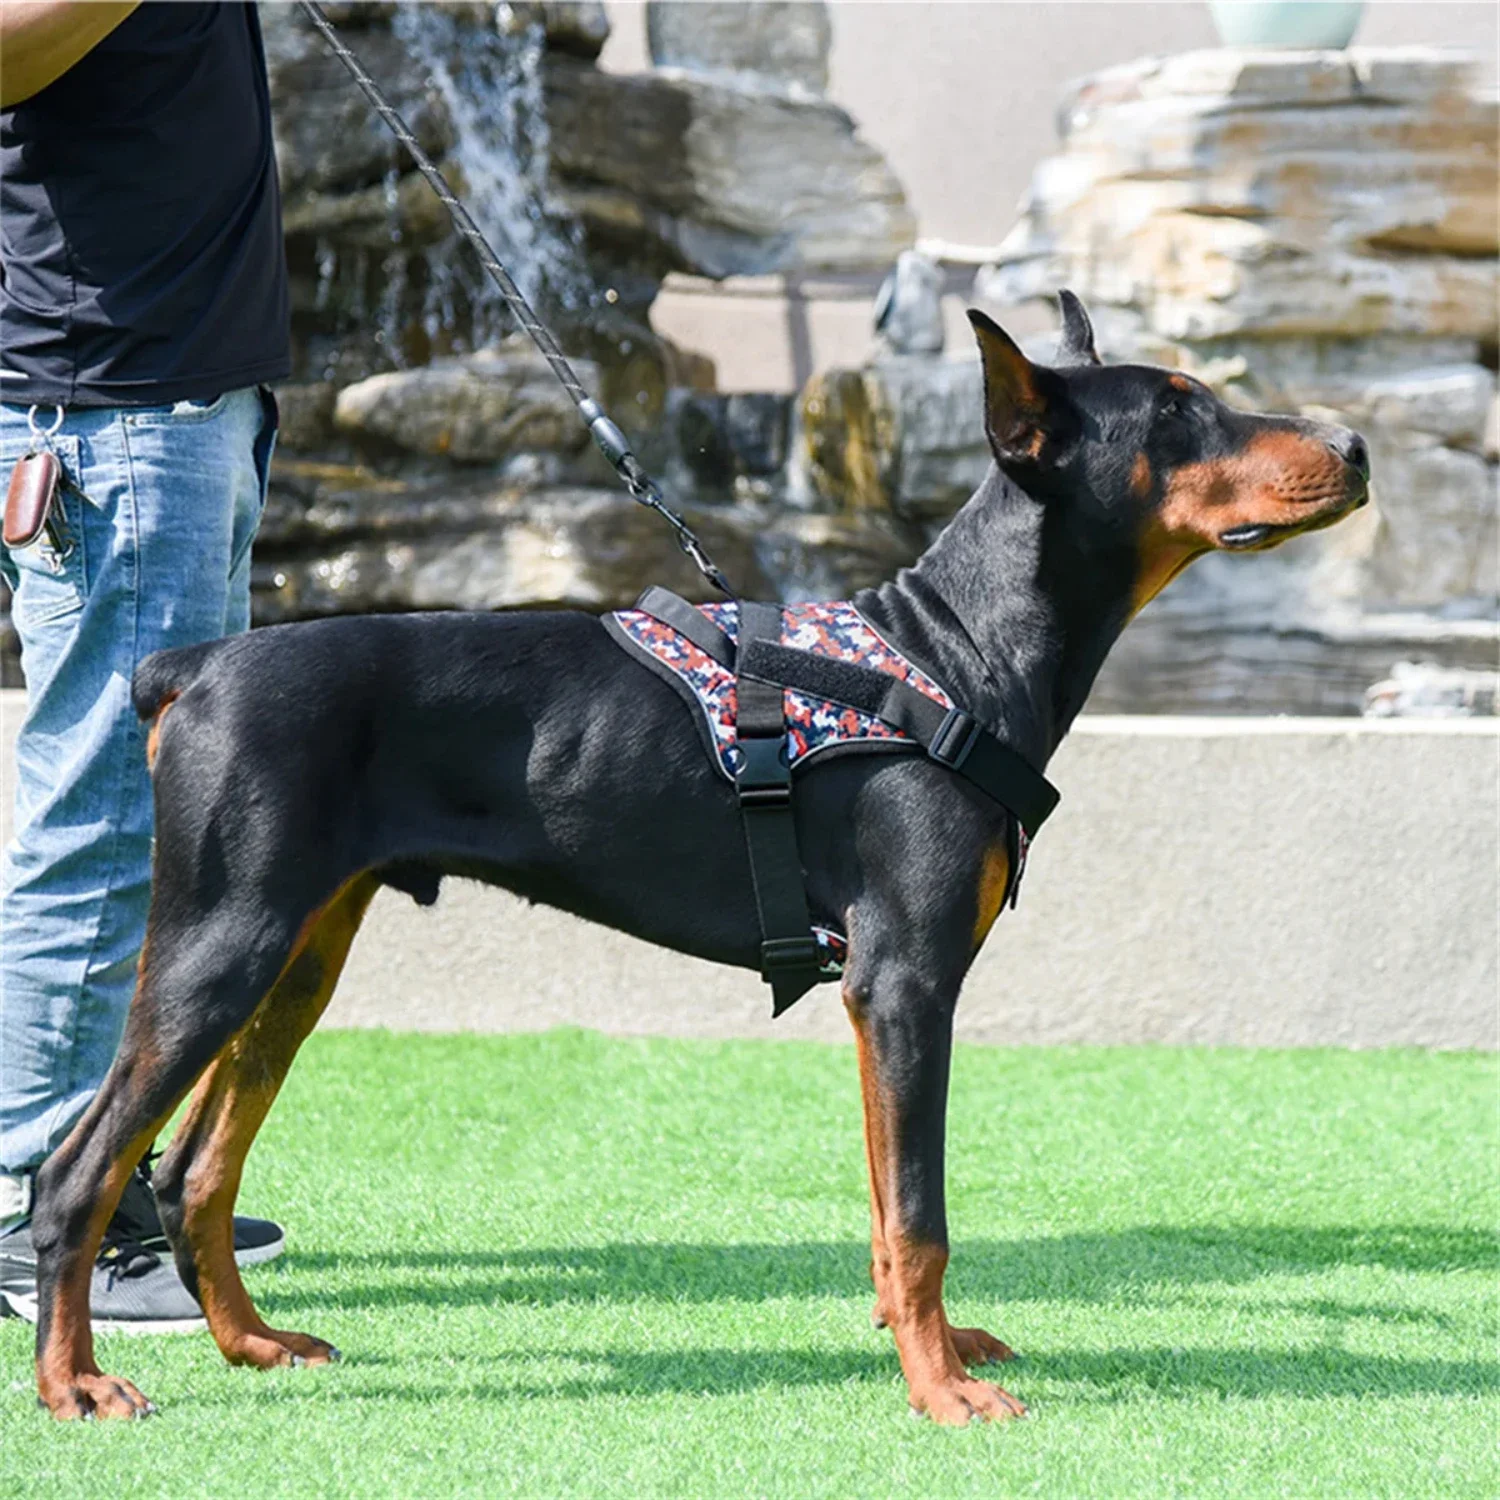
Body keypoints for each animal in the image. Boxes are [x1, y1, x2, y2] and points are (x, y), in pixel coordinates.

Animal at [32, 289, 1374, 1416]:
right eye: (1179, 412)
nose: (1359, 447)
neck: (954, 650)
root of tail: (193, 664)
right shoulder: (907, 978)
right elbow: (921, 1211)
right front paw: (944, 1393)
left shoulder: (877, 995)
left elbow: (886, 1200)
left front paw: (927, 1348)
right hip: (220, 936)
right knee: (80, 1170)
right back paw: (76, 1385)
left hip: (301, 948)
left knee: (194, 1169)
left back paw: (253, 1343)